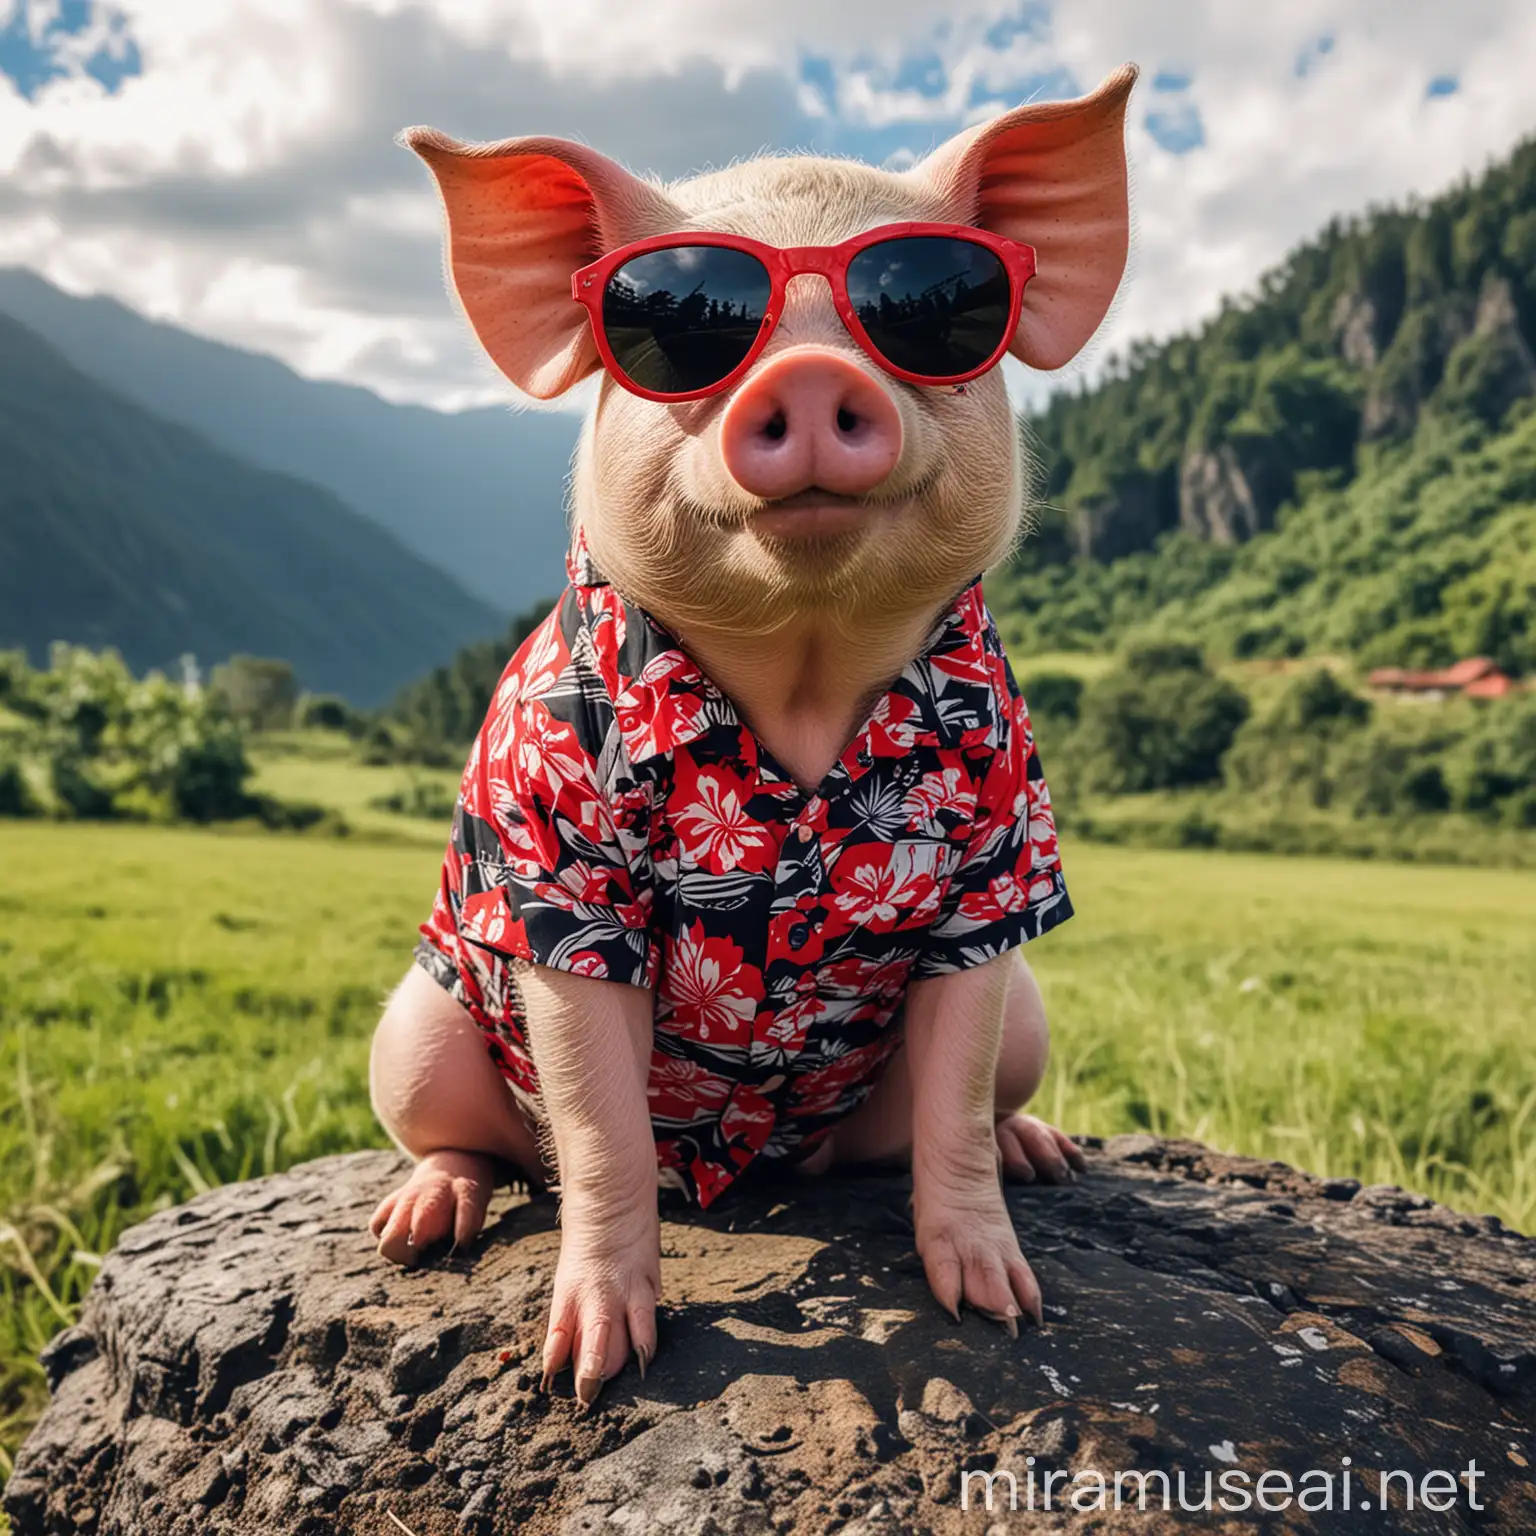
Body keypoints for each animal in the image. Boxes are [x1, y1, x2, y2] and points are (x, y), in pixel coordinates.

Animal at [368, 69, 1142, 1406]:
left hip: (1017, 1032)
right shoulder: (559, 871)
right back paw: (417, 1225)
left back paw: (1044, 1154)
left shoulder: (1004, 854)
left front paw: (1006, 1310)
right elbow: (601, 1127)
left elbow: (954, 1090)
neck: (804, 677)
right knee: (471, 1143)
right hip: (412, 1033)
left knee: (969, 1106)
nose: (813, 377)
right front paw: (589, 1371)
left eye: (931, 306)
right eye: (679, 330)